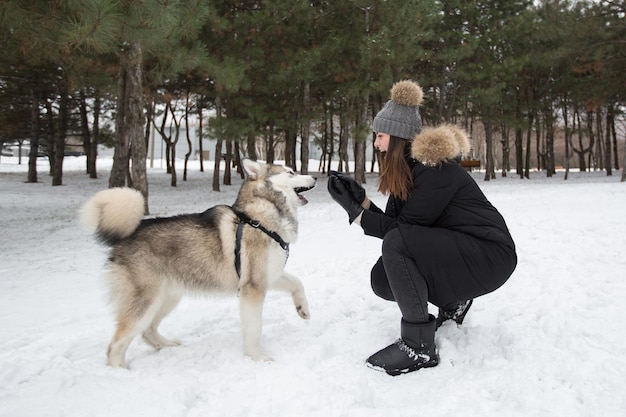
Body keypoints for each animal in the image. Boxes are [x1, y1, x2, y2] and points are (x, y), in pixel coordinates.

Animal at [81, 158, 316, 366]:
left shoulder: (268, 276)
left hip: (167, 298)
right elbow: (254, 328)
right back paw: (120, 371)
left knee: (147, 331)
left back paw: (166, 345)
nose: (314, 176)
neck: (258, 217)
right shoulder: (253, 287)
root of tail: (125, 237)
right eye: (291, 172)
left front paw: (302, 308)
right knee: (116, 345)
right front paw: (257, 357)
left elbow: (297, 282)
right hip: (145, 302)